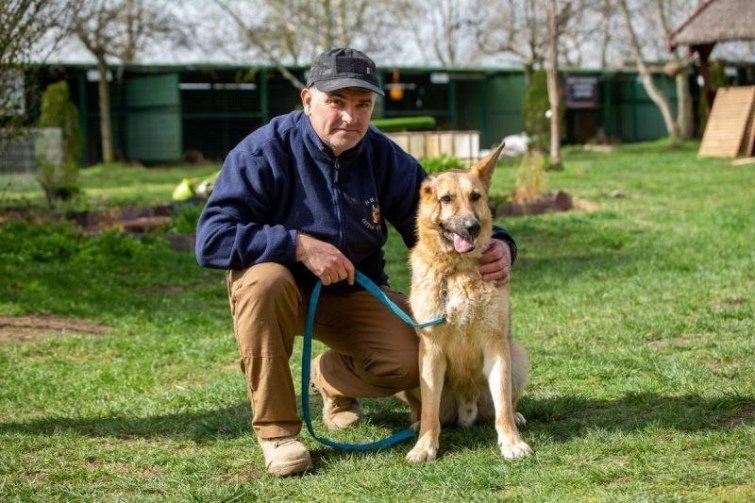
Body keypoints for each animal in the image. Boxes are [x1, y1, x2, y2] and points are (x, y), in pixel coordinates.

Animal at [404, 144, 536, 462]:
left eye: (475, 197)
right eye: (446, 199)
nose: (472, 227)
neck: (458, 270)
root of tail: (466, 410)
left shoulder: (496, 345)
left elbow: (503, 407)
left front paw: (512, 442)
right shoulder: (431, 350)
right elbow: (430, 413)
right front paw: (425, 446)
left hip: (517, 355)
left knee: (505, 405)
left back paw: (517, 417)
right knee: (425, 411)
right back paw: (415, 425)